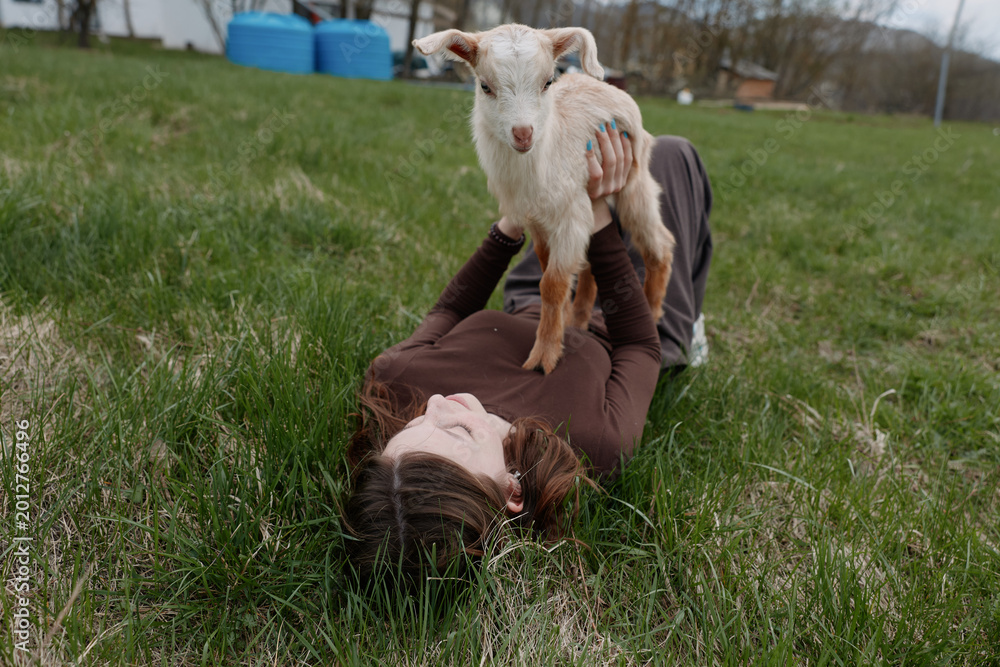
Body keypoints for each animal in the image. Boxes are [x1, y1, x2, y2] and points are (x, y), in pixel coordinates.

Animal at [413, 24, 675, 374]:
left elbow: (551, 284)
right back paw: (578, 320)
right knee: (592, 261)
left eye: (548, 82)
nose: (523, 134)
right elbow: (547, 269)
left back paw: (652, 313)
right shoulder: (536, 220)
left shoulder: (570, 215)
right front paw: (560, 326)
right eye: (485, 86)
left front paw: (544, 357)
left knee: (659, 244)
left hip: (634, 179)